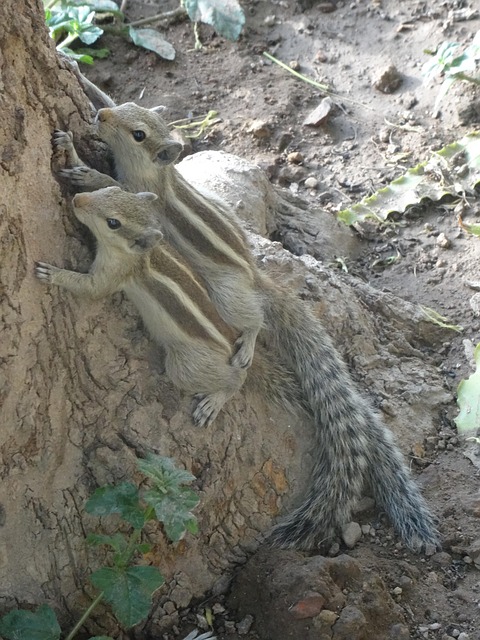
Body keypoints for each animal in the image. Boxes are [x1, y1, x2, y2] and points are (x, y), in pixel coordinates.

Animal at [53, 101, 439, 552]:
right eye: (131, 109)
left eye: (138, 134)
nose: (102, 113)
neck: (159, 174)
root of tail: (256, 276)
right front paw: (69, 147)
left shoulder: (140, 198)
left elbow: (114, 190)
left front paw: (85, 174)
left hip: (225, 297)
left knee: (252, 322)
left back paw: (244, 353)